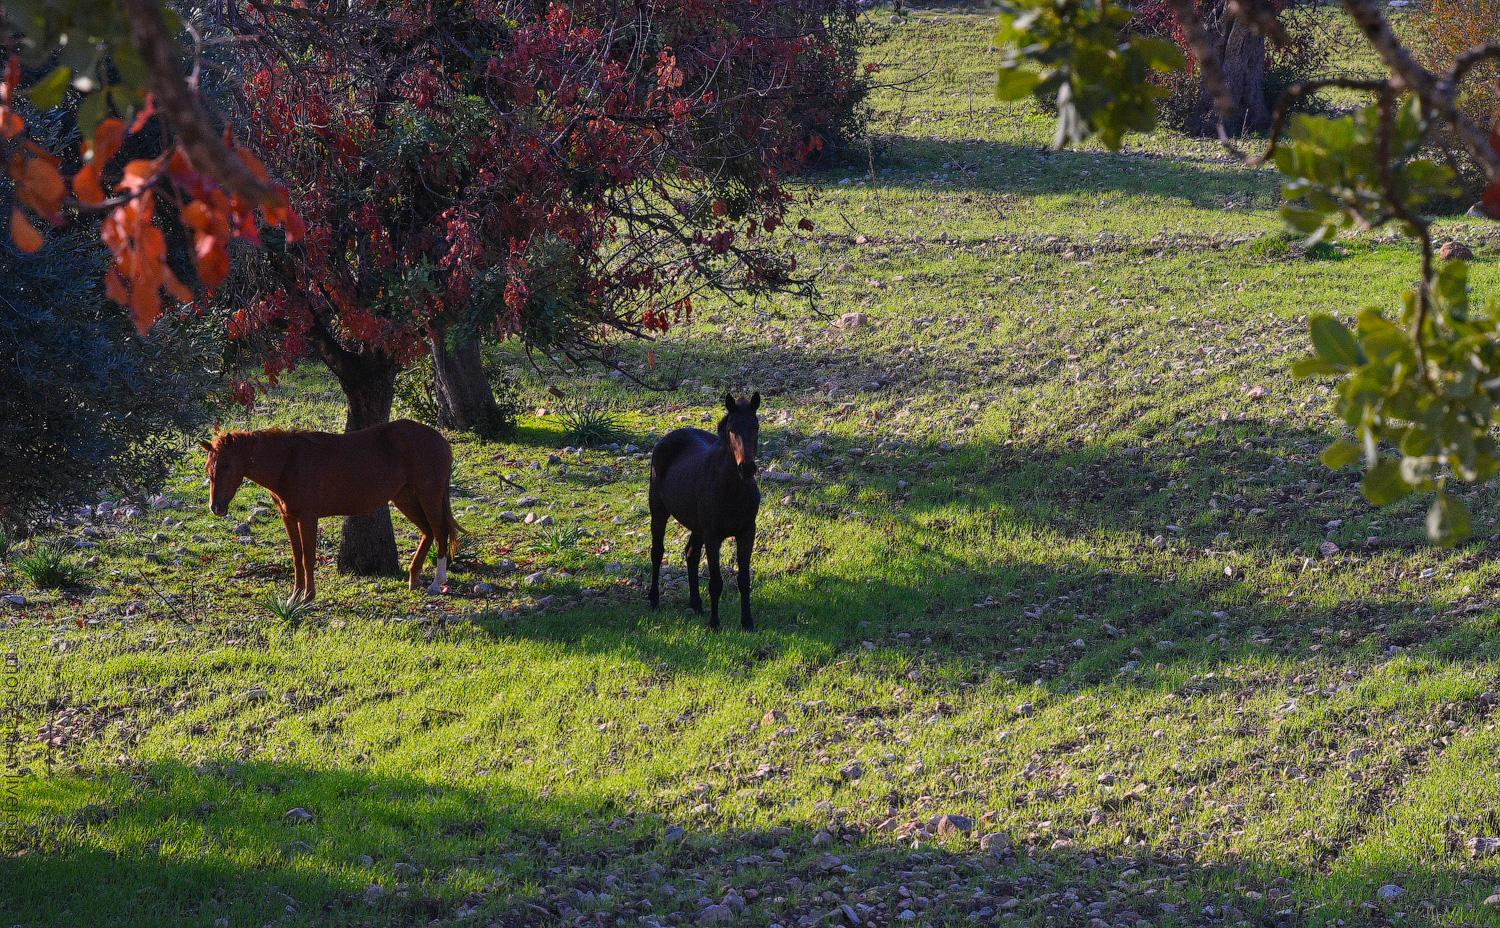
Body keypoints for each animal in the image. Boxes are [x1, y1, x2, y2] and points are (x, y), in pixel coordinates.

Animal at [199, 419, 459, 602]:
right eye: (208, 466)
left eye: (227, 465)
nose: (216, 507)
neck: (288, 462)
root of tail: (440, 439)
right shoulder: (289, 517)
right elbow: (297, 557)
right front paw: (295, 597)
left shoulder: (308, 517)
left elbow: (308, 558)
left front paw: (308, 597)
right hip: (404, 498)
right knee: (428, 532)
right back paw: (414, 579)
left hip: (429, 495)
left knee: (440, 532)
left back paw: (436, 583)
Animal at [648, 392, 762, 632]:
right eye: (732, 429)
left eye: (756, 427)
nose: (746, 468)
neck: (732, 491)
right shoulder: (713, 536)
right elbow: (716, 583)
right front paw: (714, 623)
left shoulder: (747, 532)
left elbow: (744, 581)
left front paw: (747, 622)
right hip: (659, 511)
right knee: (657, 552)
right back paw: (654, 599)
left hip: (696, 526)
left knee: (690, 554)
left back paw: (697, 604)